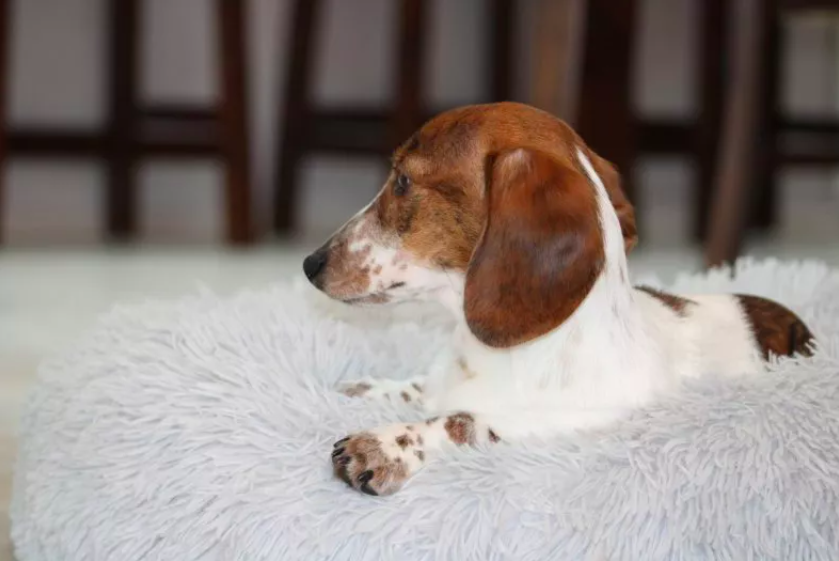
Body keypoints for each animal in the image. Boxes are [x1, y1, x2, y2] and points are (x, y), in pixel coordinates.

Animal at [304, 100, 812, 494]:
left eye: (403, 181)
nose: (310, 264)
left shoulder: (572, 423)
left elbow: (463, 421)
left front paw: (385, 444)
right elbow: (423, 388)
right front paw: (369, 389)